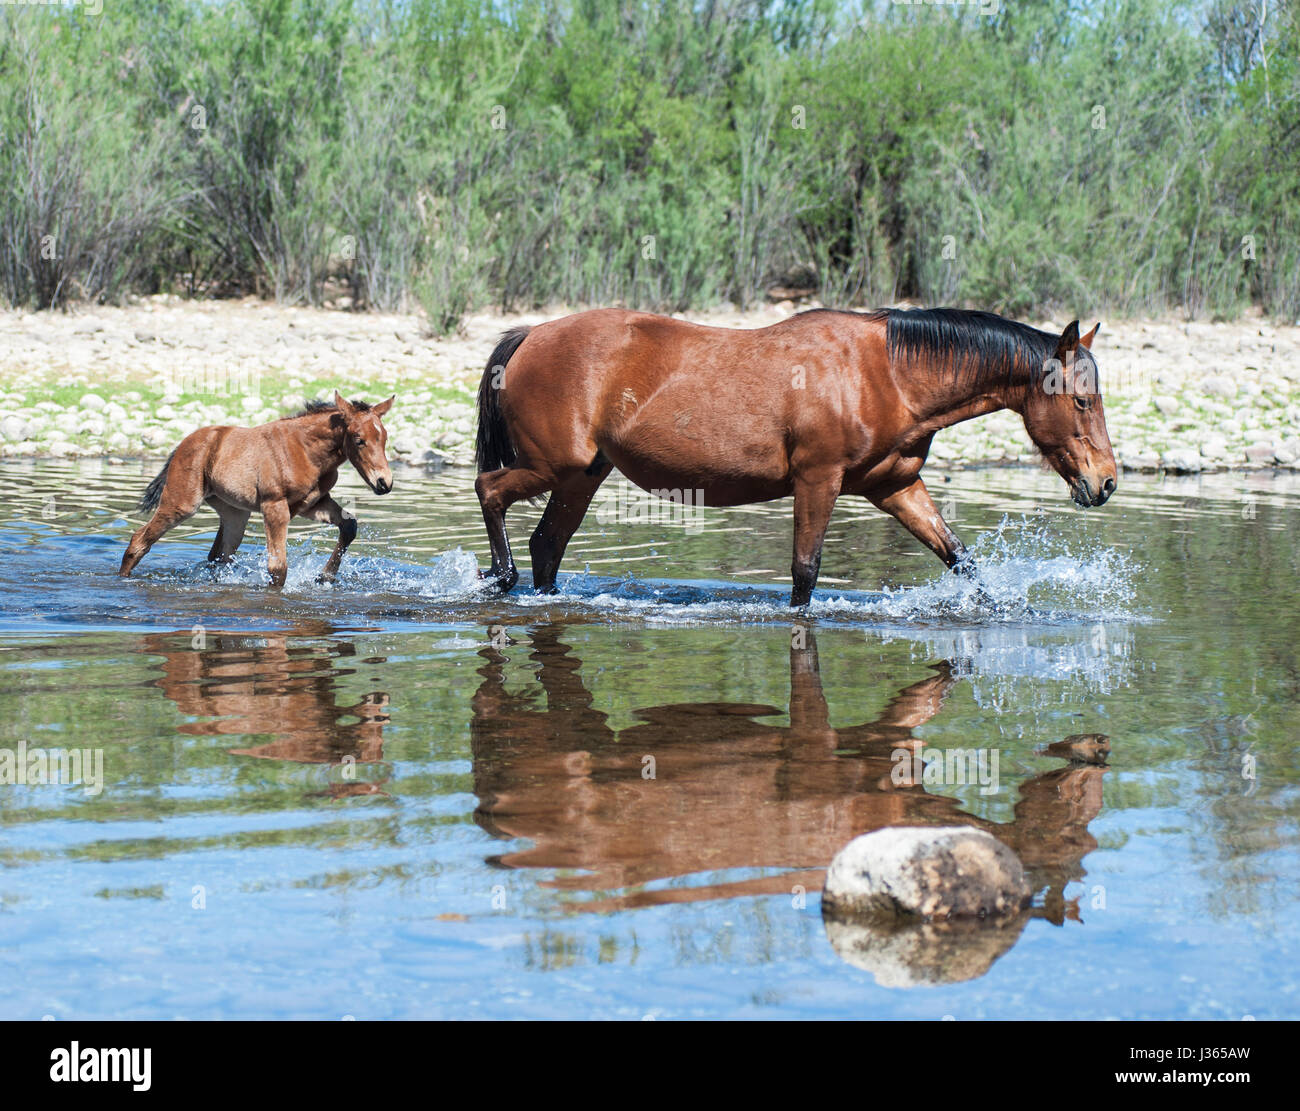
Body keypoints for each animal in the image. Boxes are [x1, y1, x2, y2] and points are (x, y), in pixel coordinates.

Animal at [122, 389, 395, 587]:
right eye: (359, 440)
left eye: (384, 438)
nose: (384, 483)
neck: (307, 451)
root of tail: (182, 444)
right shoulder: (274, 507)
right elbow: (277, 567)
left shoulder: (313, 503)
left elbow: (349, 526)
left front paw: (324, 577)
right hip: (181, 503)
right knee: (140, 540)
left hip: (235, 514)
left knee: (218, 556)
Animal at [478, 306, 1118, 608]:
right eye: (1082, 401)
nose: (1106, 483)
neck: (886, 375)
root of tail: (532, 335)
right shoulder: (818, 480)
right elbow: (805, 572)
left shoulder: (895, 487)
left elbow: (962, 560)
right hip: (554, 467)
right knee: (491, 492)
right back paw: (500, 577)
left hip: (582, 475)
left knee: (547, 545)